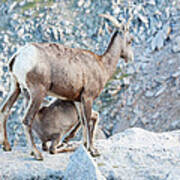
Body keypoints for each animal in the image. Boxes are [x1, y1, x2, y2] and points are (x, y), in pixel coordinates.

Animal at [0, 14, 134, 160]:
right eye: (130, 41)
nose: (130, 58)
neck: (103, 65)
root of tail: (17, 56)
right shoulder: (88, 97)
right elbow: (87, 120)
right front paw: (93, 150)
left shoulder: (78, 100)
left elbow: (83, 120)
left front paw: (86, 146)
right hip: (37, 93)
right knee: (26, 120)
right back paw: (37, 154)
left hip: (16, 87)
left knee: (4, 110)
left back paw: (7, 146)